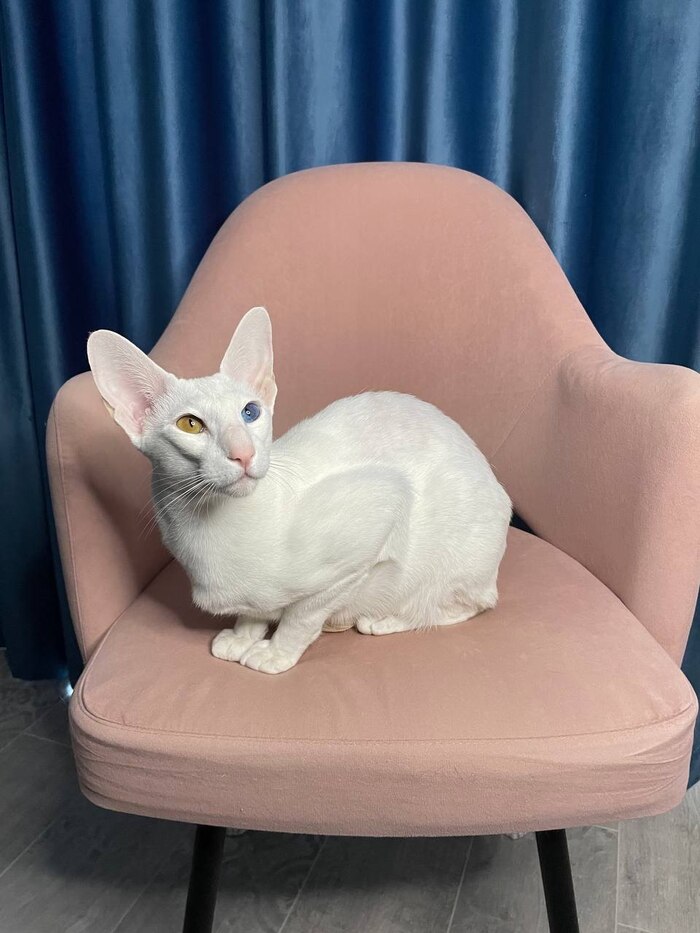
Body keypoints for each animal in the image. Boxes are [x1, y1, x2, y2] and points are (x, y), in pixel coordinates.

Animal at [87, 307, 512, 674]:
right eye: (190, 424)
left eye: (250, 412)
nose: (244, 453)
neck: (208, 531)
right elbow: (253, 611)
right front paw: (243, 636)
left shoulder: (379, 511)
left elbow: (301, 615)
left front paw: (275, 652)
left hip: (452, 555)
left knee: (468, 604)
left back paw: (384, 619)